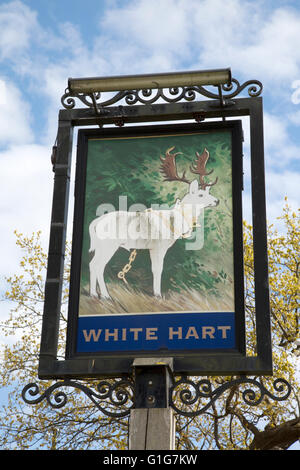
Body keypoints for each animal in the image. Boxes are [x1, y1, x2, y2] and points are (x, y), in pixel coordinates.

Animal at [88, 146, 218, 298]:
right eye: (201, 195)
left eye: (209, 193)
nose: (217, 201)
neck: (173, 223)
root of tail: (94, 223)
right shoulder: (159, 246)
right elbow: (157, 269)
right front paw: (158, 294)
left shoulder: (152, 247)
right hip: (108, 244)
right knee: (98, 265)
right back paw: (105, 295)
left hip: (101, 245)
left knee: (93, 264)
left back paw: (94, 294)